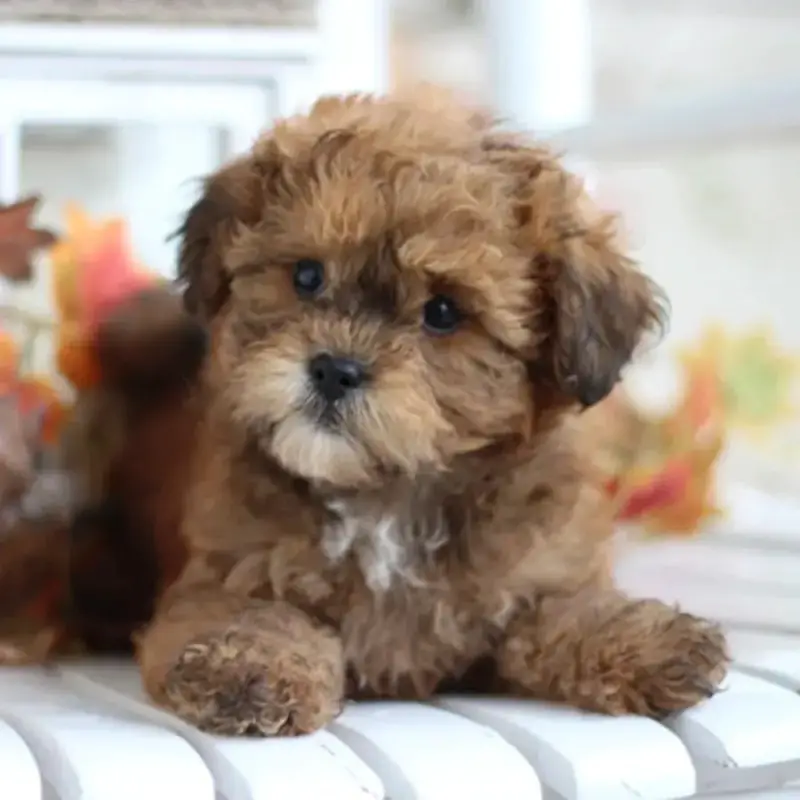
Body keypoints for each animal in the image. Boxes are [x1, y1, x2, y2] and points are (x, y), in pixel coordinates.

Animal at [139, 90, 732, 736]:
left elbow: (566, 609)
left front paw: (647, 639)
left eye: (443, 312)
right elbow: (246, 611)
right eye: (307, 275)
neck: (386, 498)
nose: (334, 369)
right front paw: (248, 663)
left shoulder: (534, 572)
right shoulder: (219, 573)